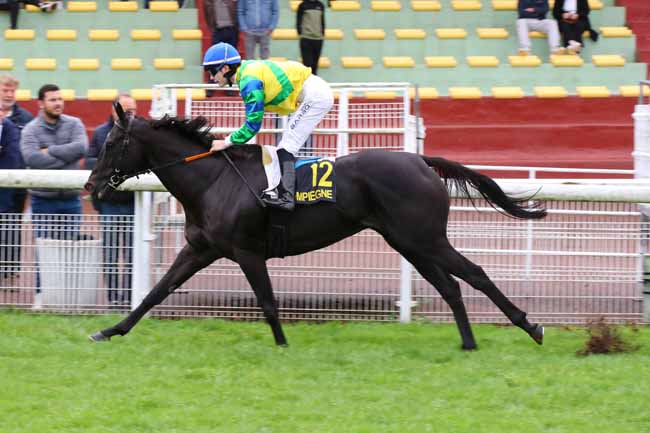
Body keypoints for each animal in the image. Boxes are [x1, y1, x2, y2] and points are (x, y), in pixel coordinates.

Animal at [83, 104, 544, 352]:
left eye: (112, 144)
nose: (90, 185)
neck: (213, 180)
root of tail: (419, 160)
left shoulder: (248, 252)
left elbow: (268, 302)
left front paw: (283, 344)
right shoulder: (200, 249)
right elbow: (154, 293)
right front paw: (109, 330)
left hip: (425, 238)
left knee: (475, 274)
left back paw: (531, 326)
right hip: (408, 242)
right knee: (449, 285)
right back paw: (468, 342)